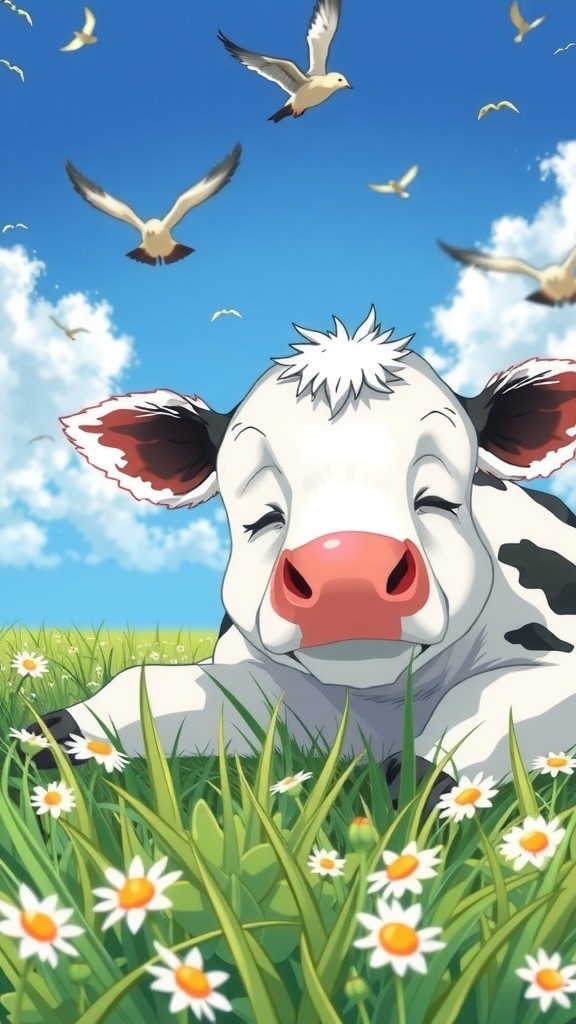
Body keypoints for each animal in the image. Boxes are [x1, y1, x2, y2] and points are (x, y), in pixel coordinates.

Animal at [29, 306, 576, 787]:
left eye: (437, 499)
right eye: (263, 516)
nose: (348, 580)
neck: (385, 702)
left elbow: (481, 712)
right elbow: (150, 687)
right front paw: (44, 739)